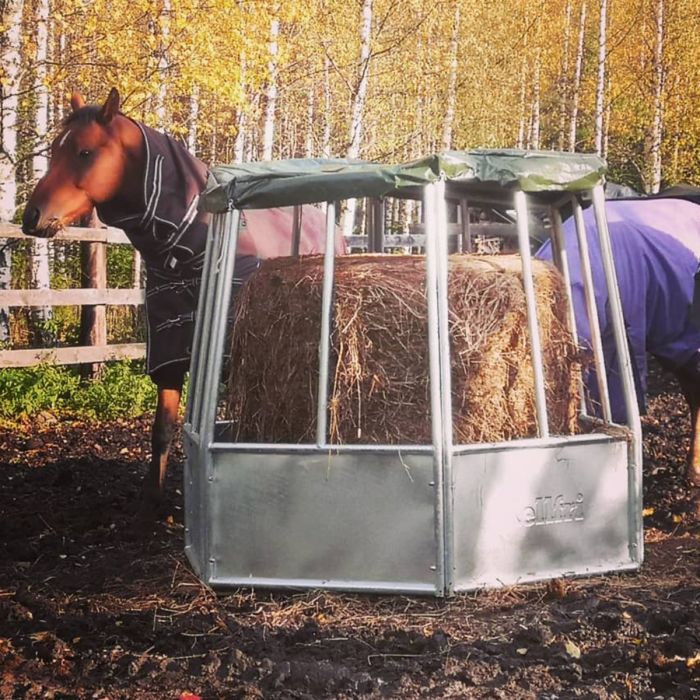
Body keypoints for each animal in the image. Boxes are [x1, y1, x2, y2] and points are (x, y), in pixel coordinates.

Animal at [23, 90, 346, 512]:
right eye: (54, 149)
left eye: (85, 152)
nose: (31, 216)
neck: (184, 254)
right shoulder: (169, 350)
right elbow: (162, 428)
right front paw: (152, 501)